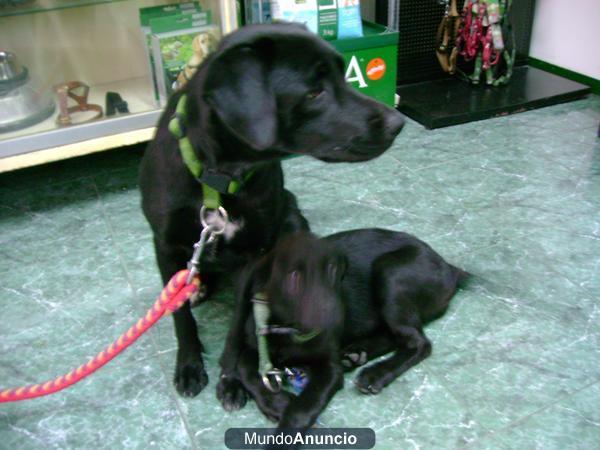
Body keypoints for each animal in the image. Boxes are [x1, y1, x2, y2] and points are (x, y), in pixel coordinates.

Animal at [138, 24, 406, 398]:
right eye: (314, 92)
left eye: (343, 75)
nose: (398, 123)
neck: (220, 178)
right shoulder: (164, 245)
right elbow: (181, 319)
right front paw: (190, 366)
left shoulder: (254, 255)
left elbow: (239, 323)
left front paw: (232, 378)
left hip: (292, 220)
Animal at [218, 229, 466, 436]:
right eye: (294, 277)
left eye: (333, 271)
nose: (333, 315)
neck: (290, 331)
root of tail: (448, 268)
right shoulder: (255, 345)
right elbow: (245, 367)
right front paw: (277, 403)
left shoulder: (329, 368)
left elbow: (302, 408)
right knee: (394, 336)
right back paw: (356, 354)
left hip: (390, 272)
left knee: (418, 343)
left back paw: (375, 373)